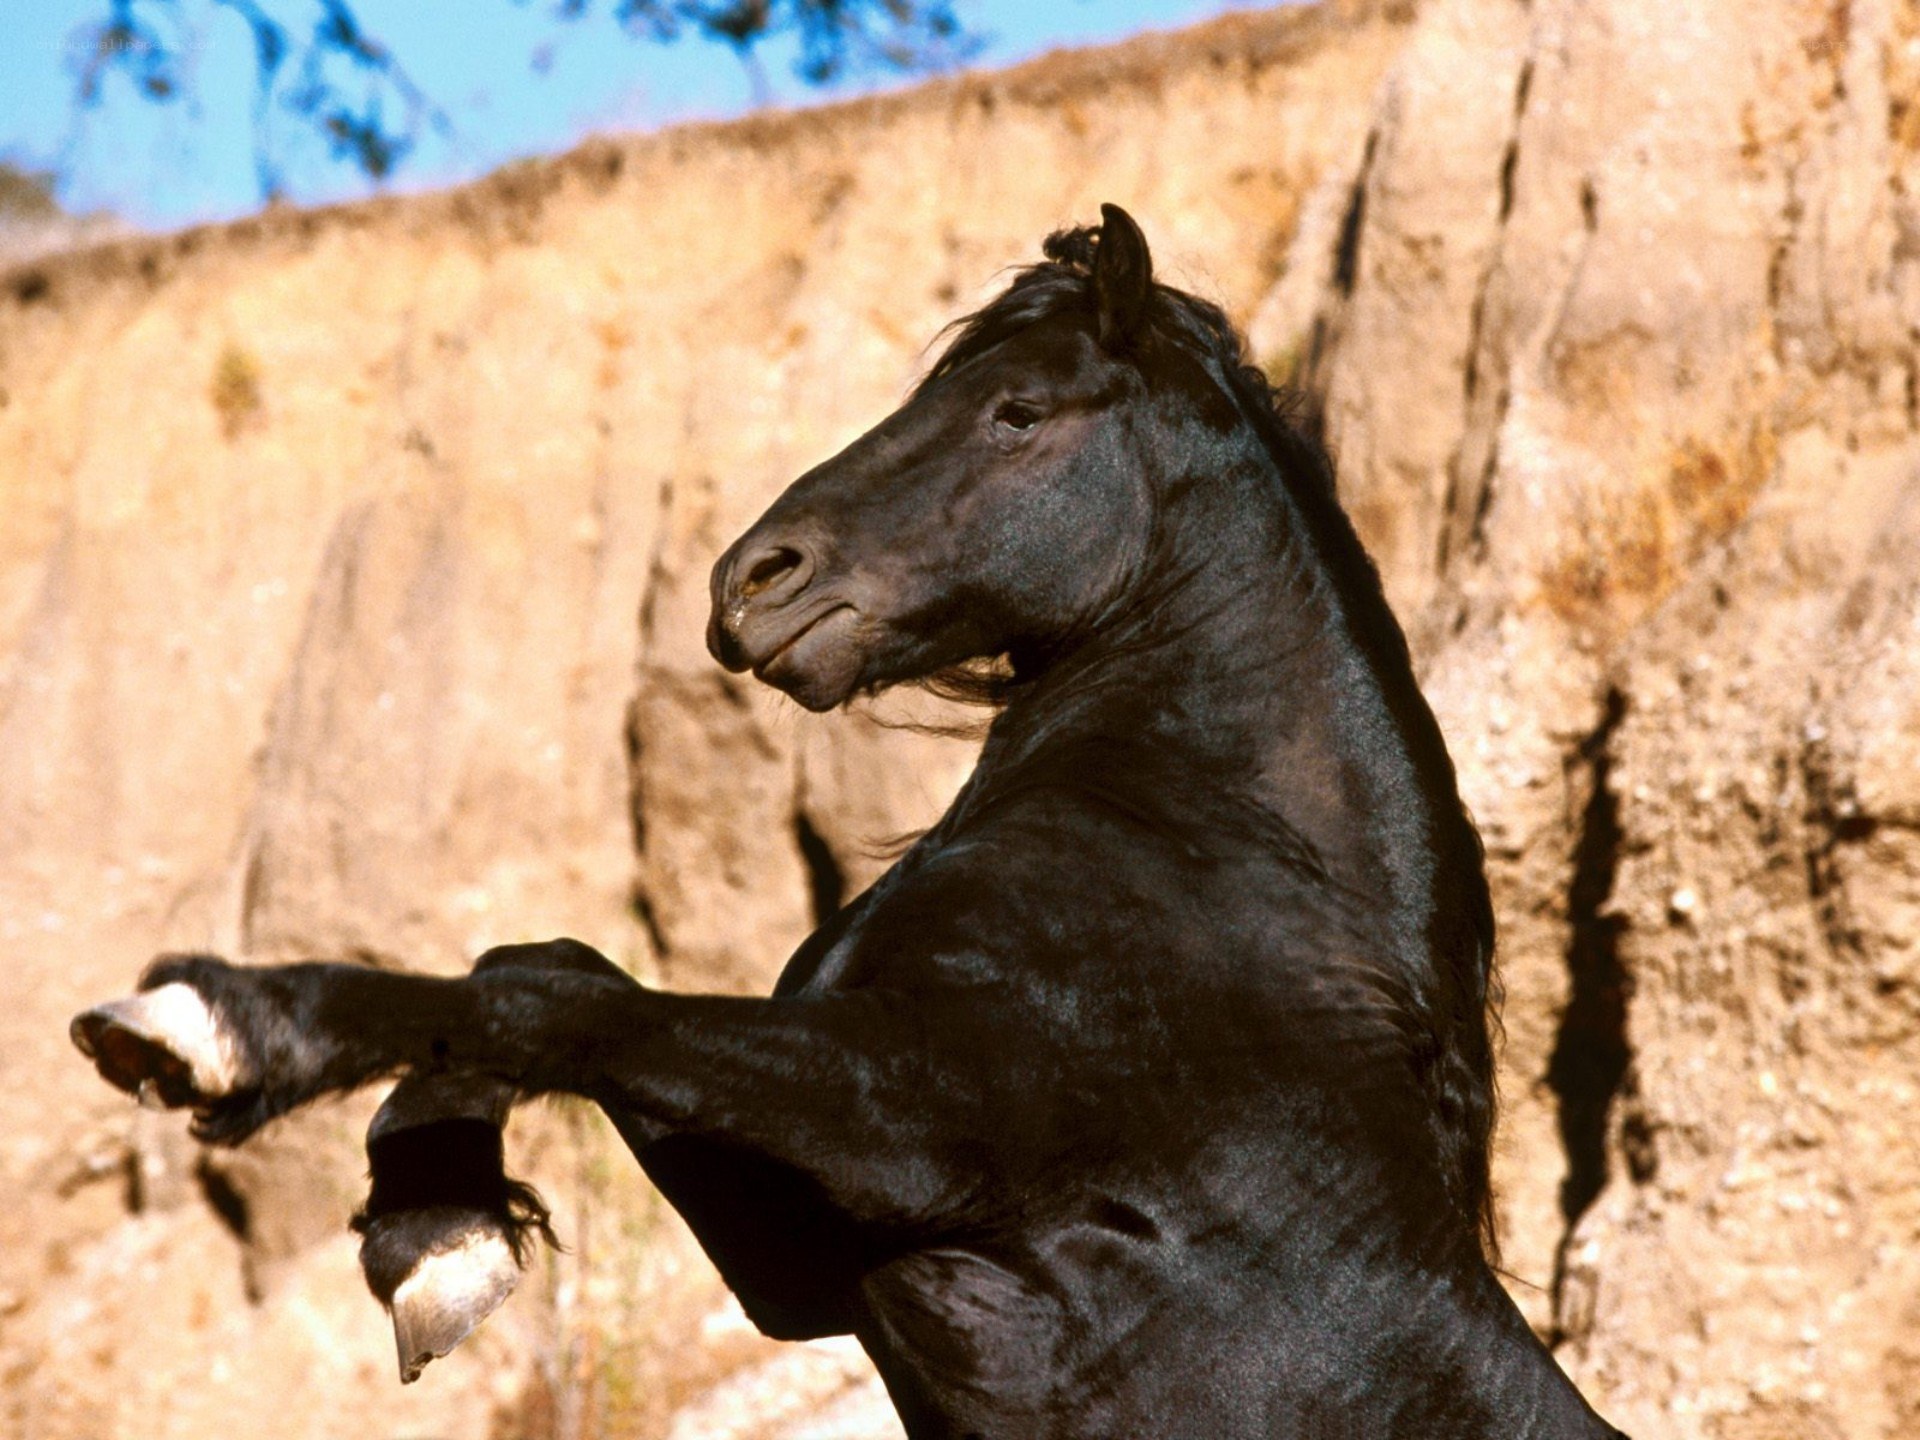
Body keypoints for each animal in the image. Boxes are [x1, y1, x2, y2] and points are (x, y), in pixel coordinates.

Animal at [73, 204, 1627, 1437]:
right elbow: (551, 976)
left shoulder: (909, 1127)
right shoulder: (809, 1256)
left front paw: (205, 1029)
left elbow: (551, 1005)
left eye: (1019, 412)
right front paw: (436, 1232)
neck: (1225, 900)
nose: (751, 583)